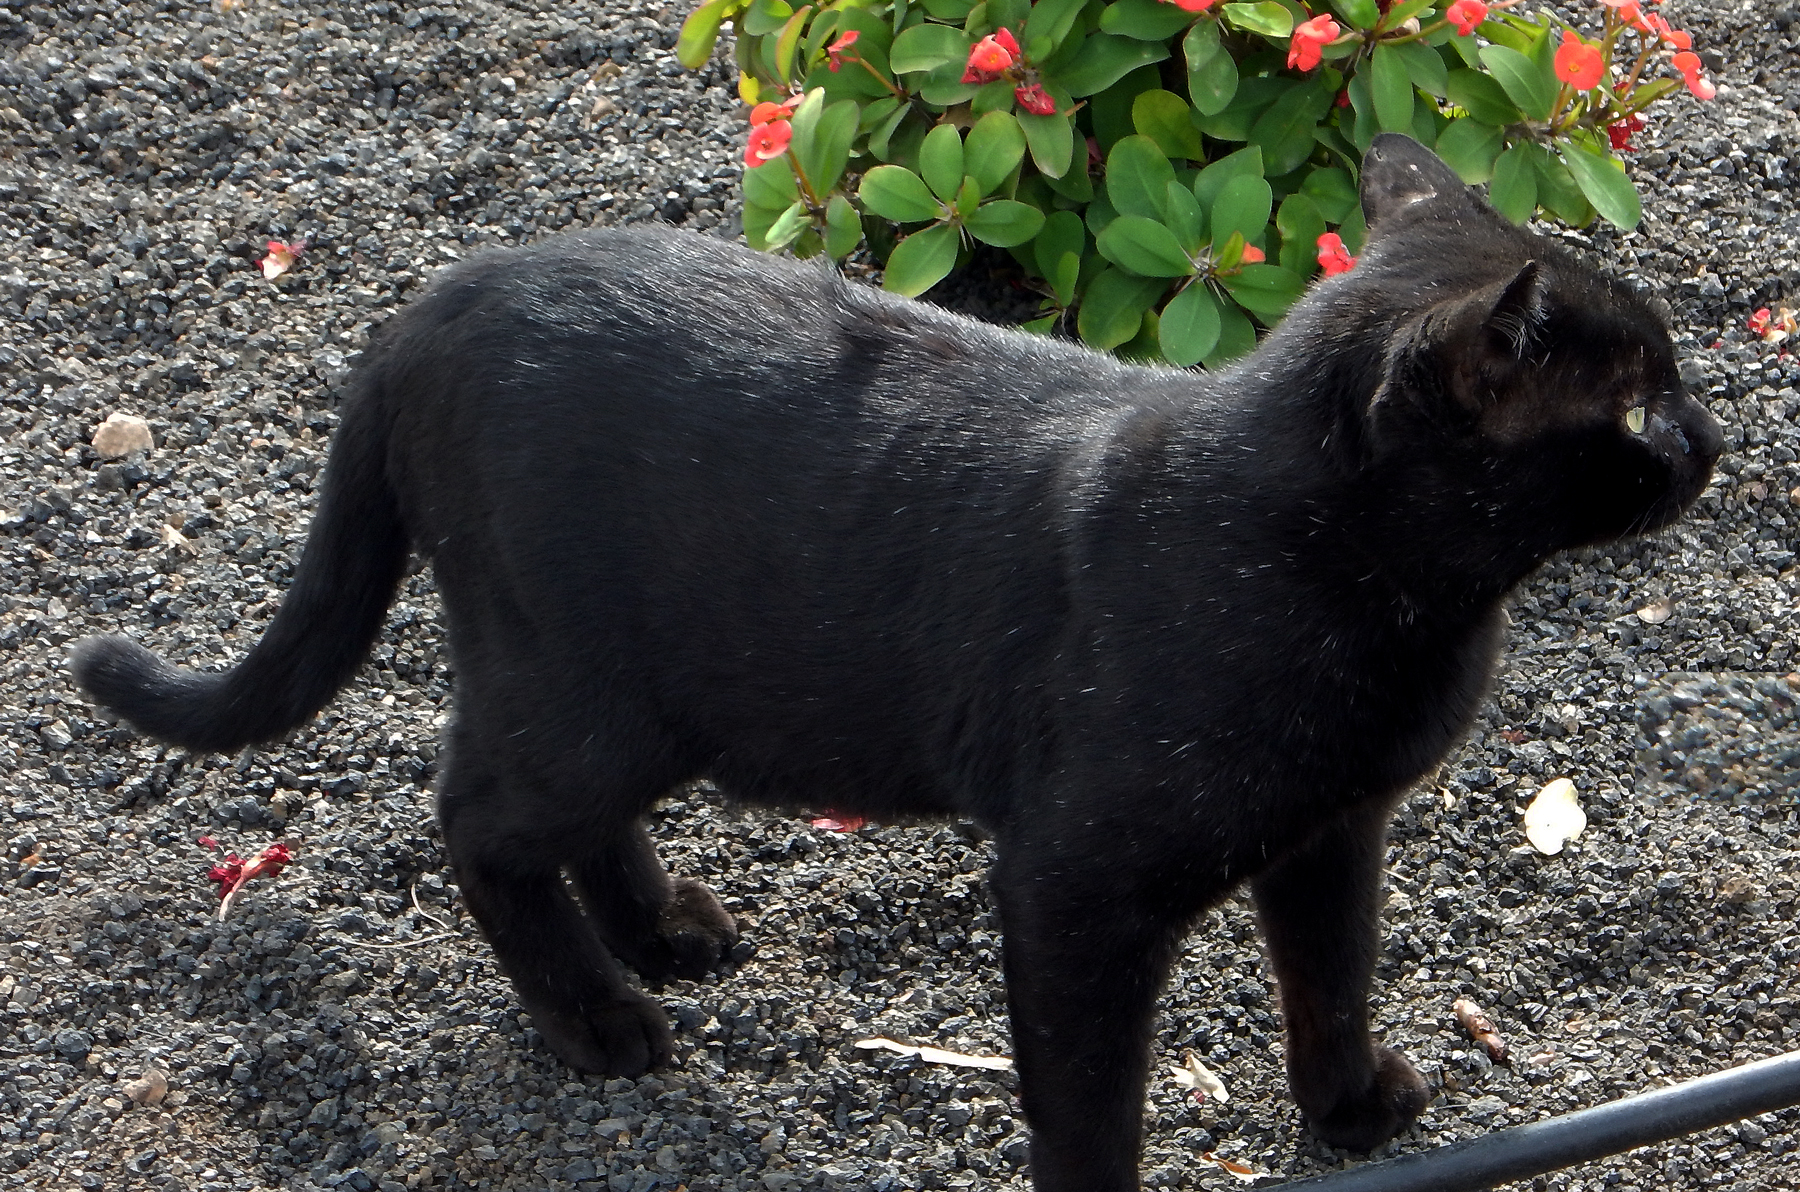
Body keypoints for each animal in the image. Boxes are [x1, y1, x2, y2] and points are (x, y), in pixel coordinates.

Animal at [74, 134, 1720, 1191]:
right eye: (1639, 404)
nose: (1714, 435)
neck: (1388, 598)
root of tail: (420, 310)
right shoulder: (1074, 885)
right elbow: (1088, 1102)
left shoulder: (1330, 834)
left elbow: (1335, 980)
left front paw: (1352, 1111)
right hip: (587, 699)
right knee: (475, 820)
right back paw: (602, 1020)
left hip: (645, 702)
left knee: (552, 820)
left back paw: (665, 932)